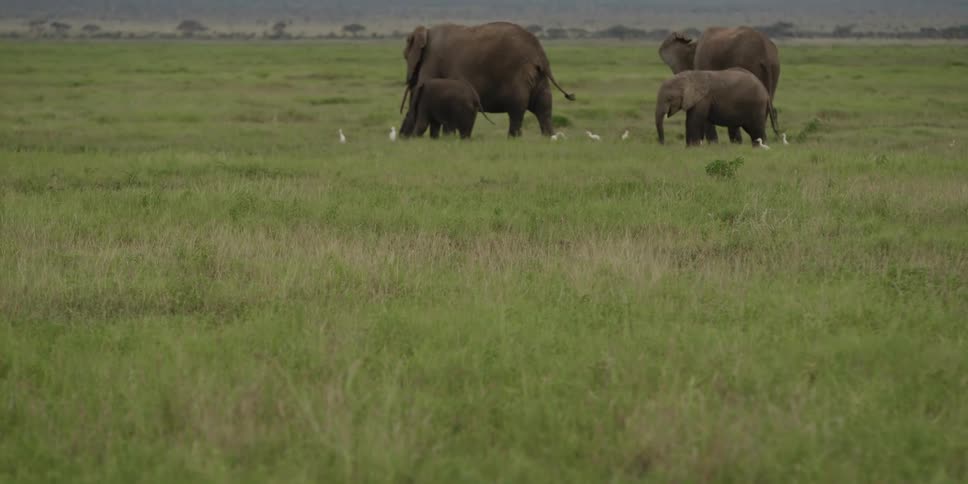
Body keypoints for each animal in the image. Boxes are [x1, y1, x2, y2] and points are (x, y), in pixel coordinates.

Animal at [400, 22, 576, 137]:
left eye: (405, 56)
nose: (402, 136)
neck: (426, 32)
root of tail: (539, 52)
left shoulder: (432, 60)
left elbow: (418, 95)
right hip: (538, 75)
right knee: (544, 106)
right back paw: (549, 137)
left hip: (518, 73)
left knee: (517, 108)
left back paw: (513, 139)